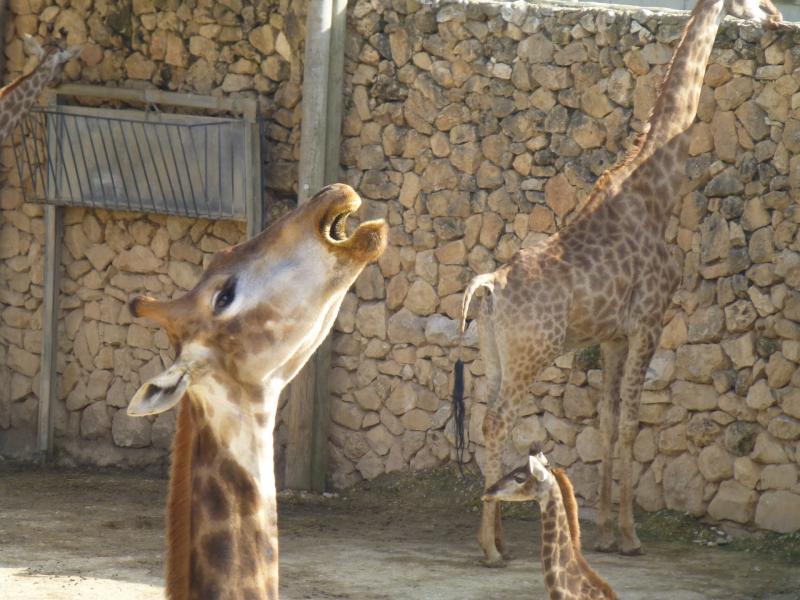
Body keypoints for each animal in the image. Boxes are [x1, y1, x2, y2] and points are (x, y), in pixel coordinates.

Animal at [454, 0, 784, 564]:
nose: (778, 17)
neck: (657, 192)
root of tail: (489, 286)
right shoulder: (649, 321)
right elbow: (631, 420)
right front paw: (630, 536)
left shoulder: (611, 336)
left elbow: (606, 421)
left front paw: (605, 531)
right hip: (533, 353)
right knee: (499, 420)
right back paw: (489, 548)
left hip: (495, 355)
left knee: (485, 417)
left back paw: (500, 538)